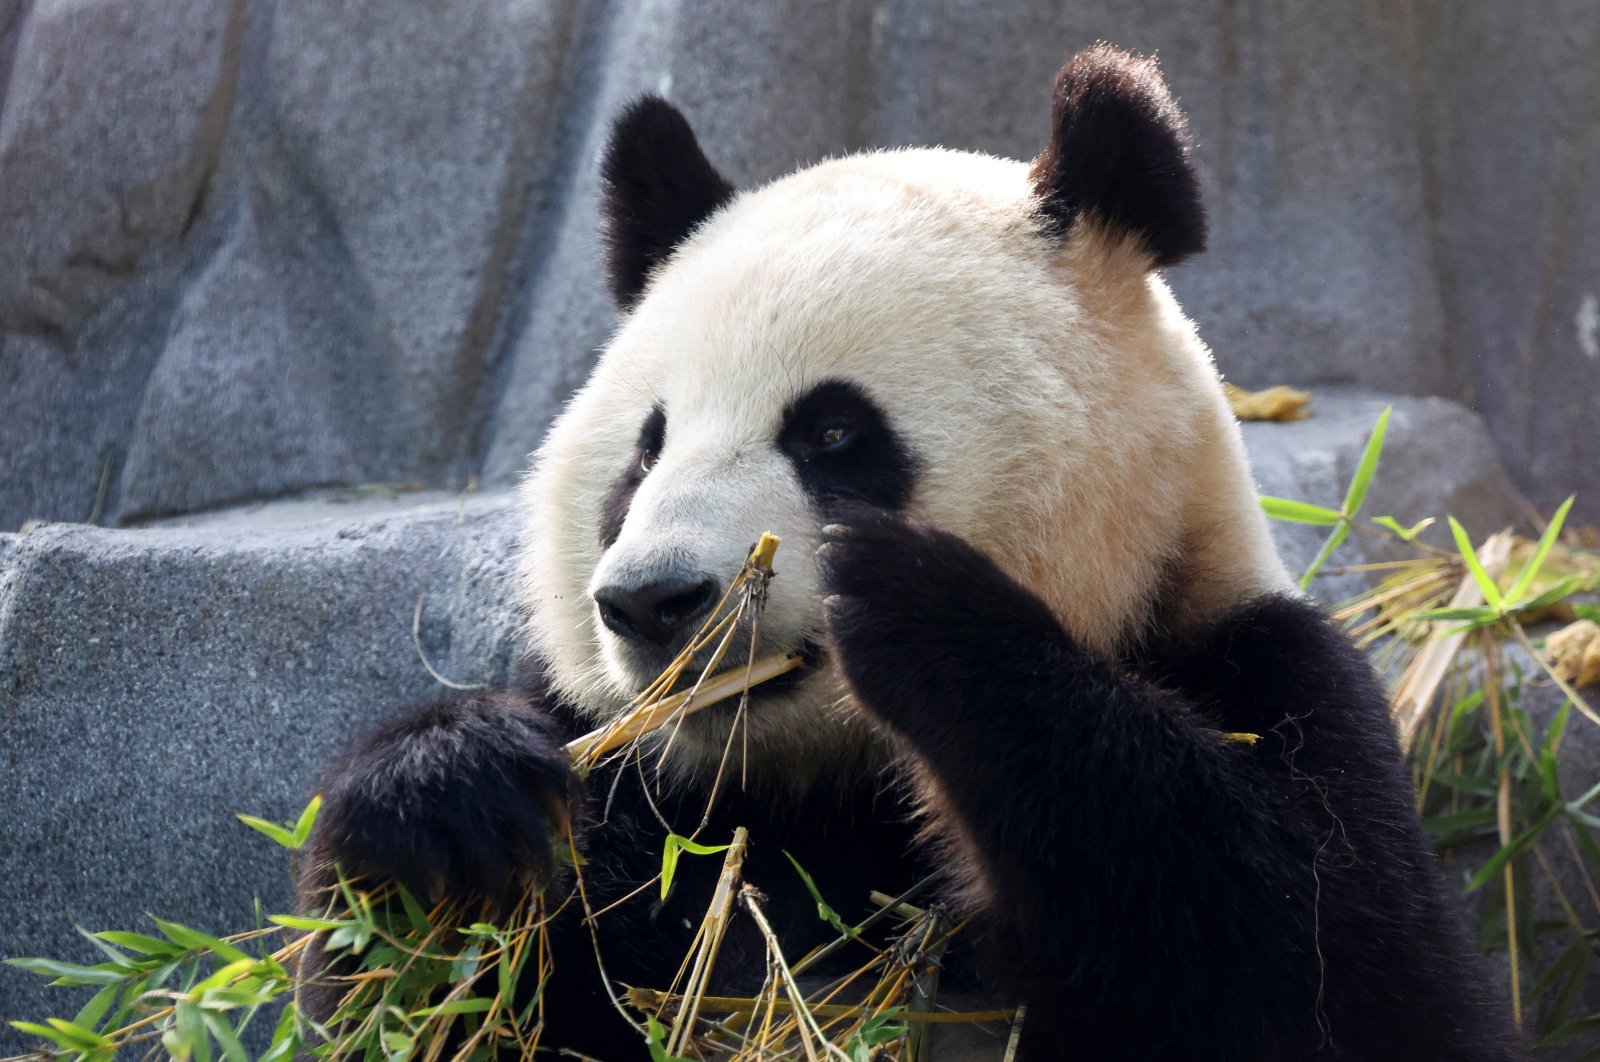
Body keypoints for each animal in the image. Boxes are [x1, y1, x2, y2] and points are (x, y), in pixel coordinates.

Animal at [302, 47, 1523, 1062]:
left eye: (834, 432)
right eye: (645, 451)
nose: (655, 603)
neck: (829, 791)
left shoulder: (1256, 666)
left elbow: (1335, 964)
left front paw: (923, 615)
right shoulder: (634, 794)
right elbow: (438, 1004)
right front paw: (444, 794)